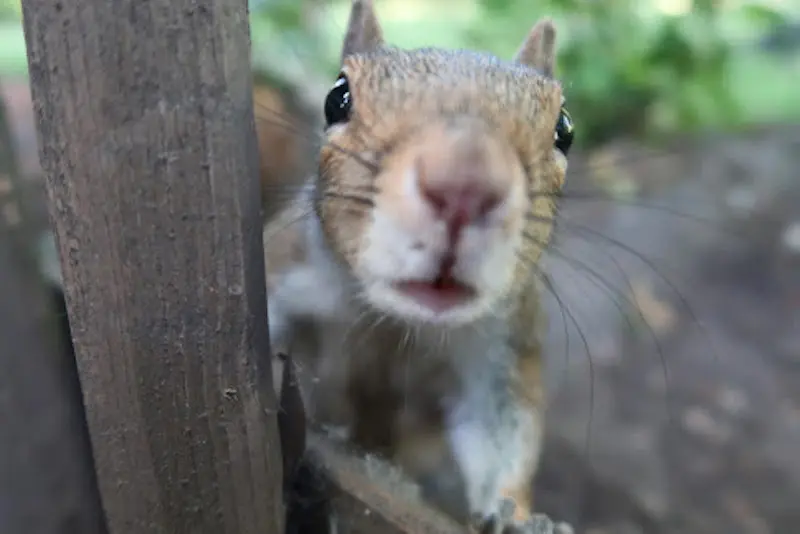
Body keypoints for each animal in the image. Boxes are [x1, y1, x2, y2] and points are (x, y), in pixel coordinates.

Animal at [262, 1, 576, 533]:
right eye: (337, 99)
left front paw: (516, 516)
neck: (393, 323)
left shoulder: (503, 339)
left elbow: (501, 429)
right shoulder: (286, 265)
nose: (464, 185)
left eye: (565, 130)